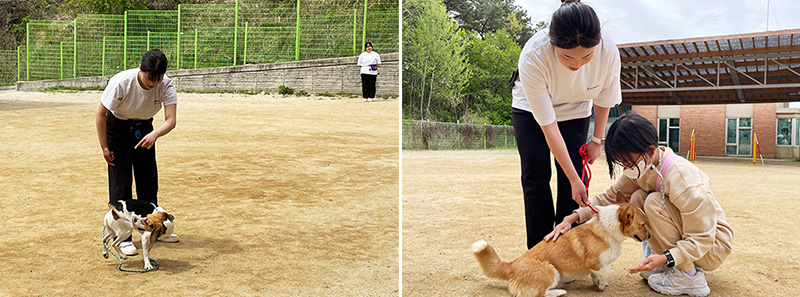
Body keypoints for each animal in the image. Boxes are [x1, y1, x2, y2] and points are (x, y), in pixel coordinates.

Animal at [472, 199, 648, 296]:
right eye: (643, 224)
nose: (649, 237)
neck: (608, 228)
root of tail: (512, 266)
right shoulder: (595, 263)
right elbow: (606, 272)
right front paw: (602, 285)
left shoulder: (596, 267)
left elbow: (597, 275)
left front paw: (597, 283)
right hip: (551, 270)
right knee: (539, 294)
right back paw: (559, 291)